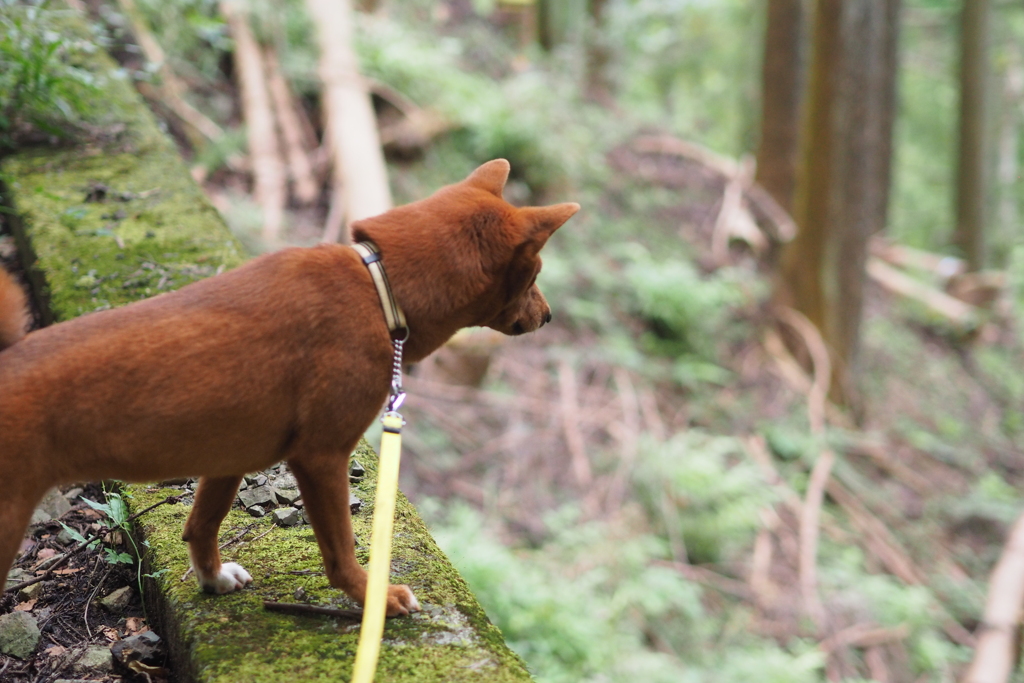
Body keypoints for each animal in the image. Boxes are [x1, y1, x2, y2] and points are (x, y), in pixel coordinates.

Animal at [0, 158, 577, 614]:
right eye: (535, 274)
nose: (549, 316)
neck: (378, 286)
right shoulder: (321, 457)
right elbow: (340, 551)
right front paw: (375, 598)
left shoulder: (229, 453)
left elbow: (201, 524)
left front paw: (213, 579)